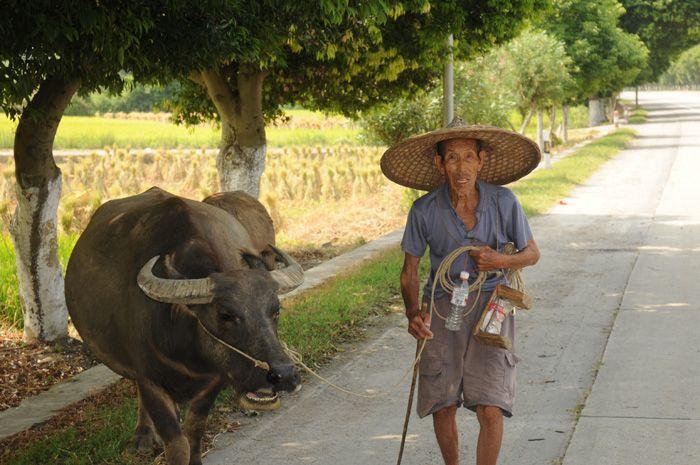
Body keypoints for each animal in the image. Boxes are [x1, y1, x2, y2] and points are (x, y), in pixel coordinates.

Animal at [65, 186, 304, 464]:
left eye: (276, 310)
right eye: (225, 315)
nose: (283, 375)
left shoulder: (214, 380)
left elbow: (194, 431)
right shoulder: (149, 380)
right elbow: (177, 442)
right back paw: (143, 437)